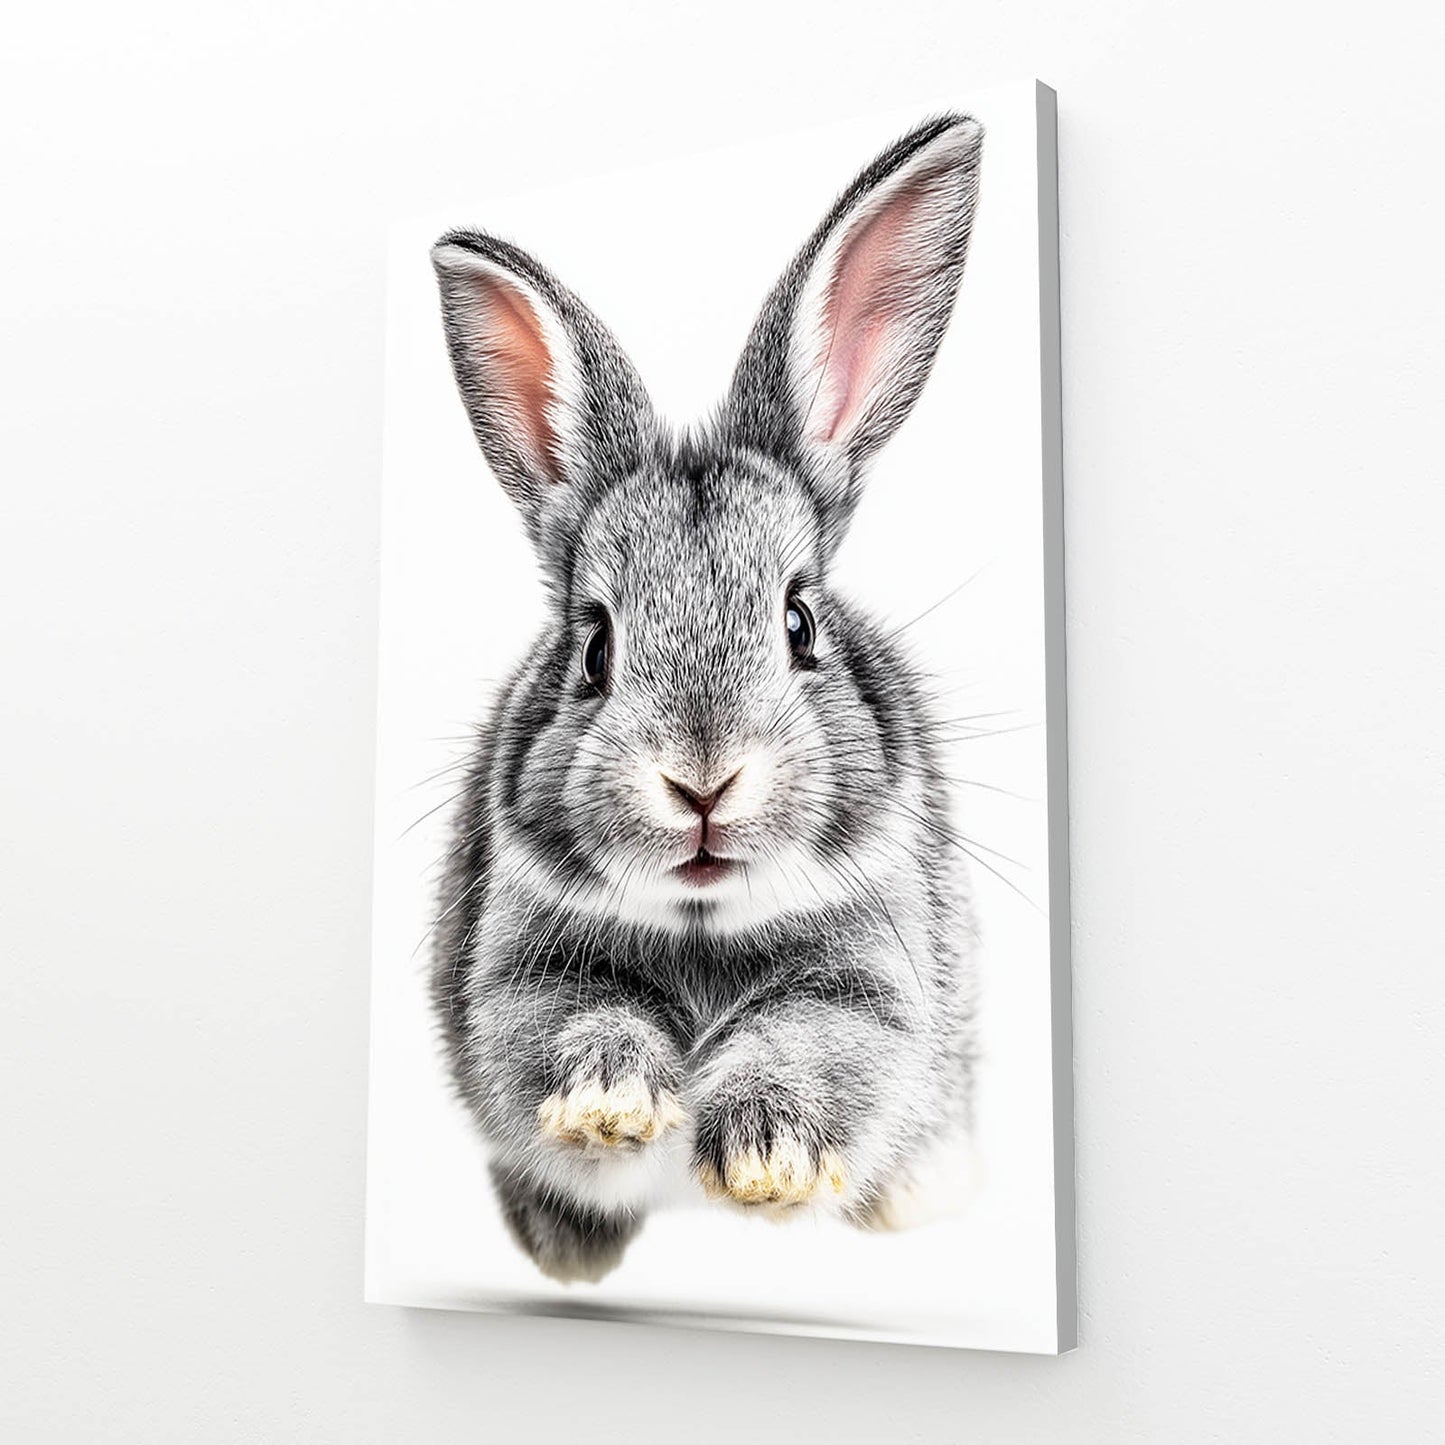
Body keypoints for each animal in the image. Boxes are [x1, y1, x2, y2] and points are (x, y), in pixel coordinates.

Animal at [428, 114, 984, 1283]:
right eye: (593, 646)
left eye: (799, 623)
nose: (701, 780)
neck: (700, 924)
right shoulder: (513, 980)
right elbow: (566, 1026)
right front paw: (607, 1106)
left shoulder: (871, 988)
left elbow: (812, 1043)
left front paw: (766, 1164)